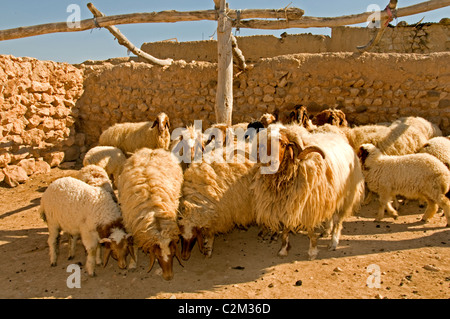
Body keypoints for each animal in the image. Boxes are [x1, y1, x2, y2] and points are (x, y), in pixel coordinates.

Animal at [118, 148, 185, 280]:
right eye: (158, 256)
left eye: (173, 254)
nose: (168, 277)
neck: (154, 213)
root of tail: (151, 150)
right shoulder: (133, 227)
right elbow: (134, 244)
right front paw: (133, 263)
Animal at [251, 124, 364, 262]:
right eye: (264, 145)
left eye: (284, 144)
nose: (272, 165)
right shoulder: (287, 204)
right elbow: (286, 229)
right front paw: (283, 249)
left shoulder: (309, 204)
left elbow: (310, 230)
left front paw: (312, 251)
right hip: (330, 195)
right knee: (330, 214)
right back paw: (326, 230)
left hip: (345, 196)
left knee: (338, 220)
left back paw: (333, 242)